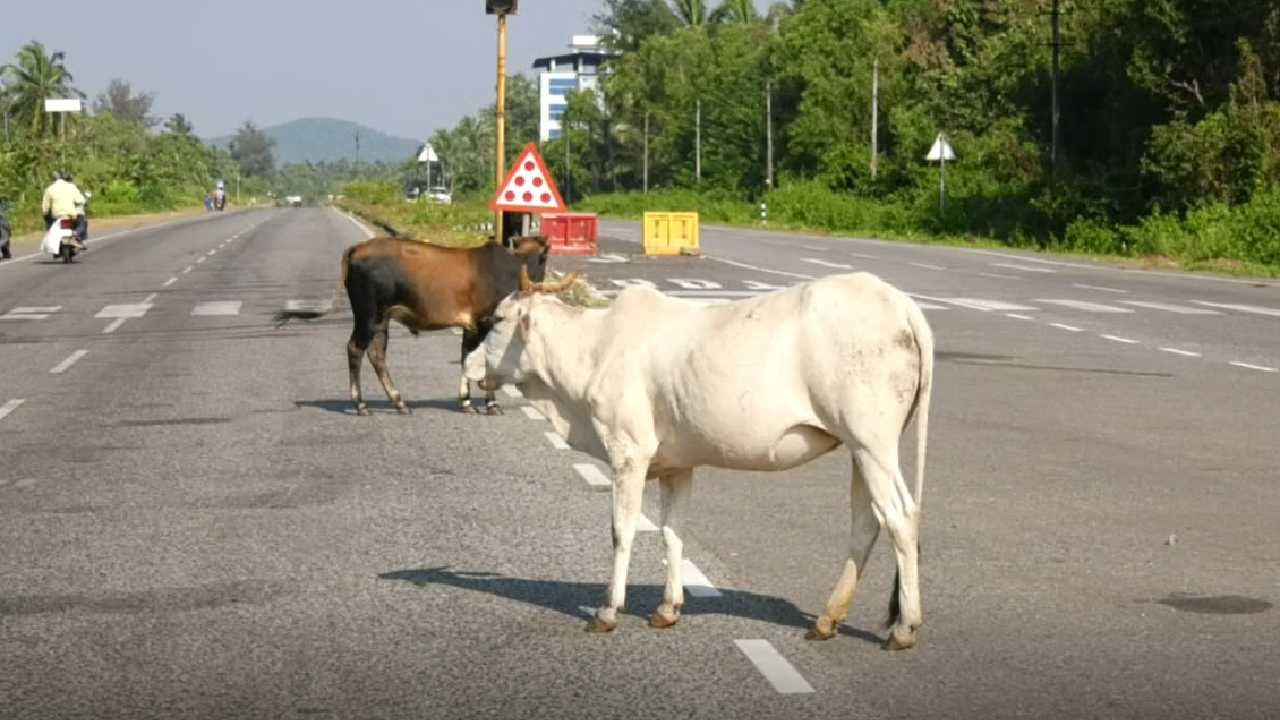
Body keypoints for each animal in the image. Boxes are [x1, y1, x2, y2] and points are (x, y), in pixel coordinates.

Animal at [277, 235, 552, 415]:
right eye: (545, 257)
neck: (510, 268)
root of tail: (356, 249)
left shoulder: (471, 326)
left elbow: (466, 357)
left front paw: (466, 401)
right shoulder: (485, 323)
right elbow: (484, 362)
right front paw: (491, 404)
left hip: (381, 320)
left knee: (376, 355)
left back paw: (398, 402)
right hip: (368, 316)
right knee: (355, 349)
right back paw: (361, 404)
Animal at [476, 269, 936, 650]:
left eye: (497, 320)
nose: (473, 366)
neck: (594, 349)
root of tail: (900, 303)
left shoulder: (628, 452)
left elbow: (622, 531)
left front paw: (608, 611)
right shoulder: (677, 465)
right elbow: (671, 532)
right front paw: (668, 608)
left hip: (872, 443)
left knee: (901, 517)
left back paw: (904, 628)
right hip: (860, 449)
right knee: (867, 523)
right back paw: (827, 619)